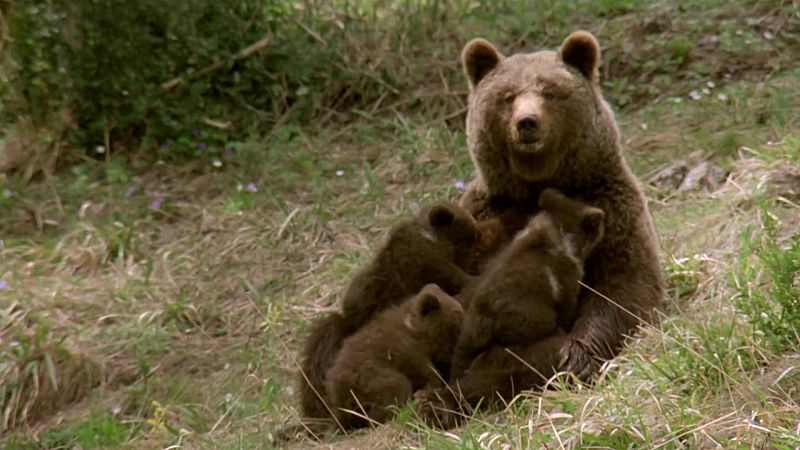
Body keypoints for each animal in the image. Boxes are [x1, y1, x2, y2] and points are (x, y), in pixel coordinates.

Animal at [416, 30, 664, 426]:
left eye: (549, 91)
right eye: (507, 97)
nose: (527, 122)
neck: (538, 183)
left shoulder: (611, 205)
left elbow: (622, 287)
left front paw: (577, 356)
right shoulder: (488, 217)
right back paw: (436, 402)